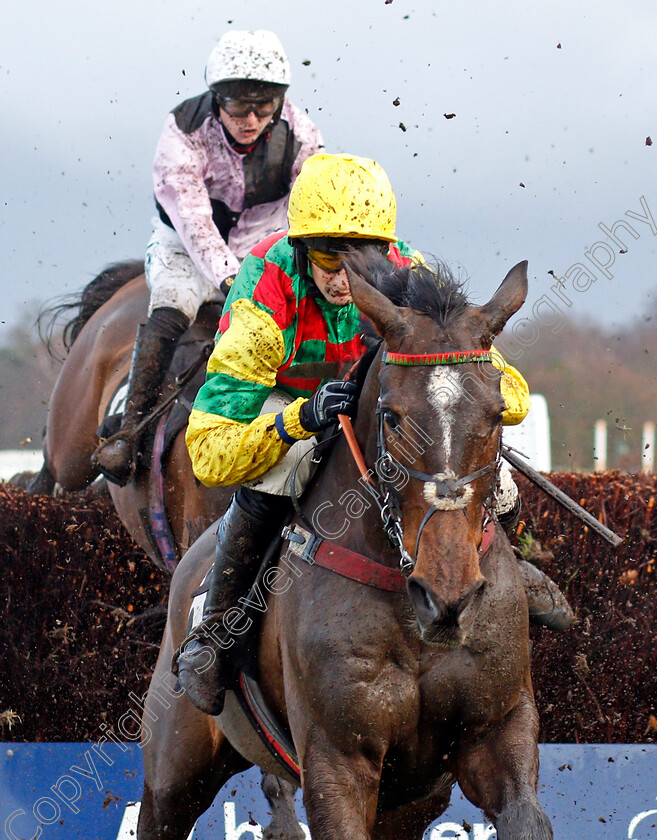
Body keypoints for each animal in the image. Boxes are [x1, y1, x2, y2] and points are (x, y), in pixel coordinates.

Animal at [140, 256, 552, 840]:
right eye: (391, 416)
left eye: (497, 414)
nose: (446, 597)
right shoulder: (338, 761)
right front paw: (317, 408)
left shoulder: (495, 734)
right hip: (174, 772)